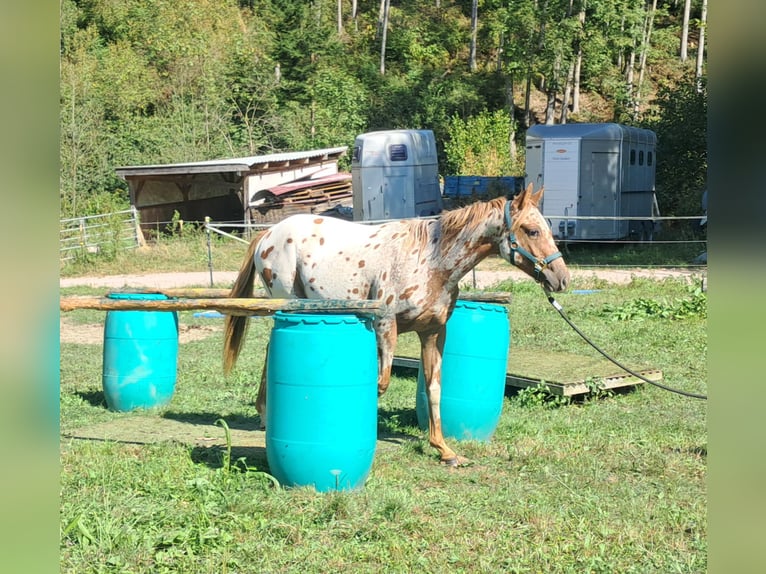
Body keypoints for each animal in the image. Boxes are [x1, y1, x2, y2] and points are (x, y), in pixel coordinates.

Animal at [222, 184, 568, 468]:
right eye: (531, 231)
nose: (562, 278)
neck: (431, 260)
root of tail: (267, 234)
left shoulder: (433, 333)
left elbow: (434, 389)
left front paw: (444, 450)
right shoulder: (385, 326)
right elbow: (381, 384)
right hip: (288, 304)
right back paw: (265, 413)